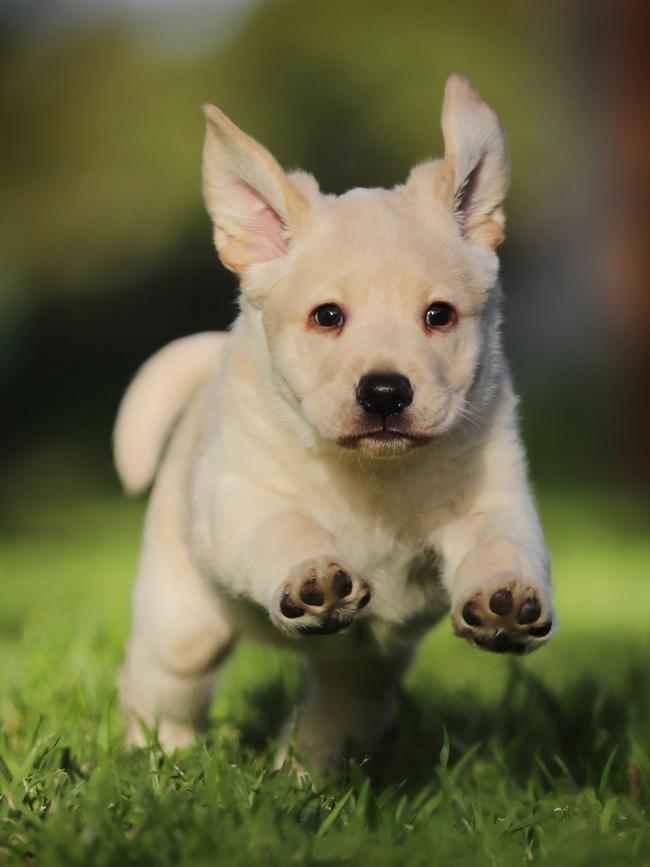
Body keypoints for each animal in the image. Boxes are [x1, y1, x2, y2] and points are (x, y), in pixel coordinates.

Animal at [114, 73, 556, 768]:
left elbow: (499, 544)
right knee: (156, 688)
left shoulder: (493, 499)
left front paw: (504, 602)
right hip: (180, 623)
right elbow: (287, 528)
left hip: (364, 671)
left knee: (336, 713)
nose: (385, 392)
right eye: (327, 316)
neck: (373, 473)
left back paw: (302, 777)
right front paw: (314, 579)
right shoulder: (240, 498)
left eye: (438, 315)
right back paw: (165, 762)